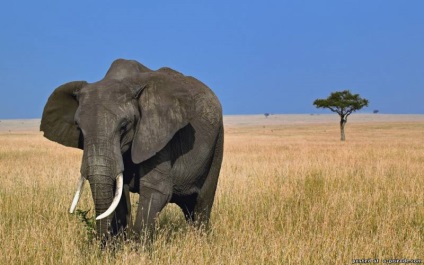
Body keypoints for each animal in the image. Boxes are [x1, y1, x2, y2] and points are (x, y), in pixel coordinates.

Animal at [40, 58, 224, 242]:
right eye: (79, 128)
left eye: (124, 126)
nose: (102, 242)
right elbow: (118, 193)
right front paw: (118, 244)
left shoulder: (157, 133)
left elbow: (156, 188)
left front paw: (137, 247)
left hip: (217, 142)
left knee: (202, 202)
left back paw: (200, 239)